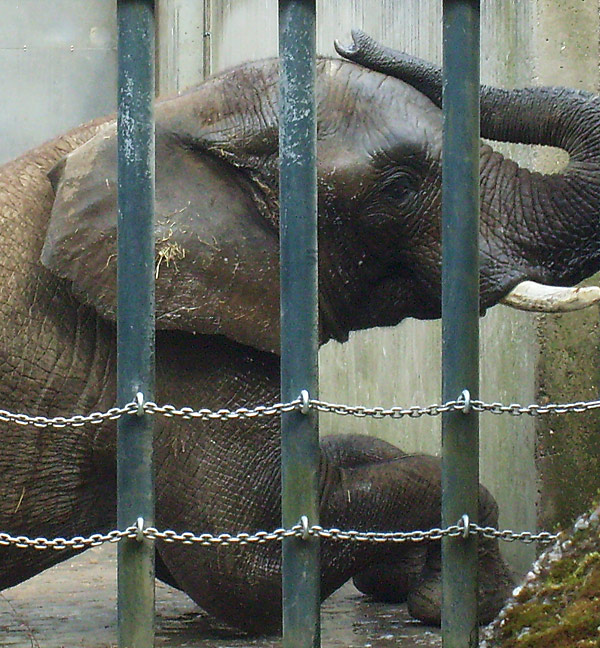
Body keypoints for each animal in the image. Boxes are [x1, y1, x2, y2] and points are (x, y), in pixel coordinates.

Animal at [1, 30, 600, 632]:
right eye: (399, 189)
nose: (353, 40)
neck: (181, 112)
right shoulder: (184, 339)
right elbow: (246, 571)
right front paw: (462, 598)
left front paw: (402, 574)